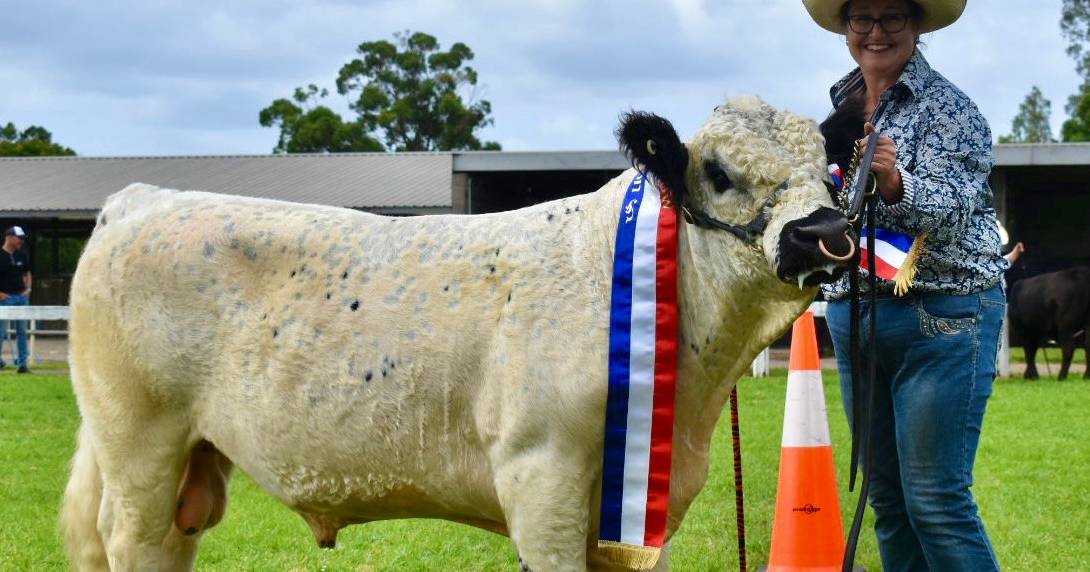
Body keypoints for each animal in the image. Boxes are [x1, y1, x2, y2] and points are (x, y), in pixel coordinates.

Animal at [61, 95, 850, 566]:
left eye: (829, 170)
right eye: (718, 172)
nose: (822, 232)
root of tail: (143, 198)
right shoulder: (541, 475)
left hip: (193, 459)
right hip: (138, 443)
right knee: (131, 542)